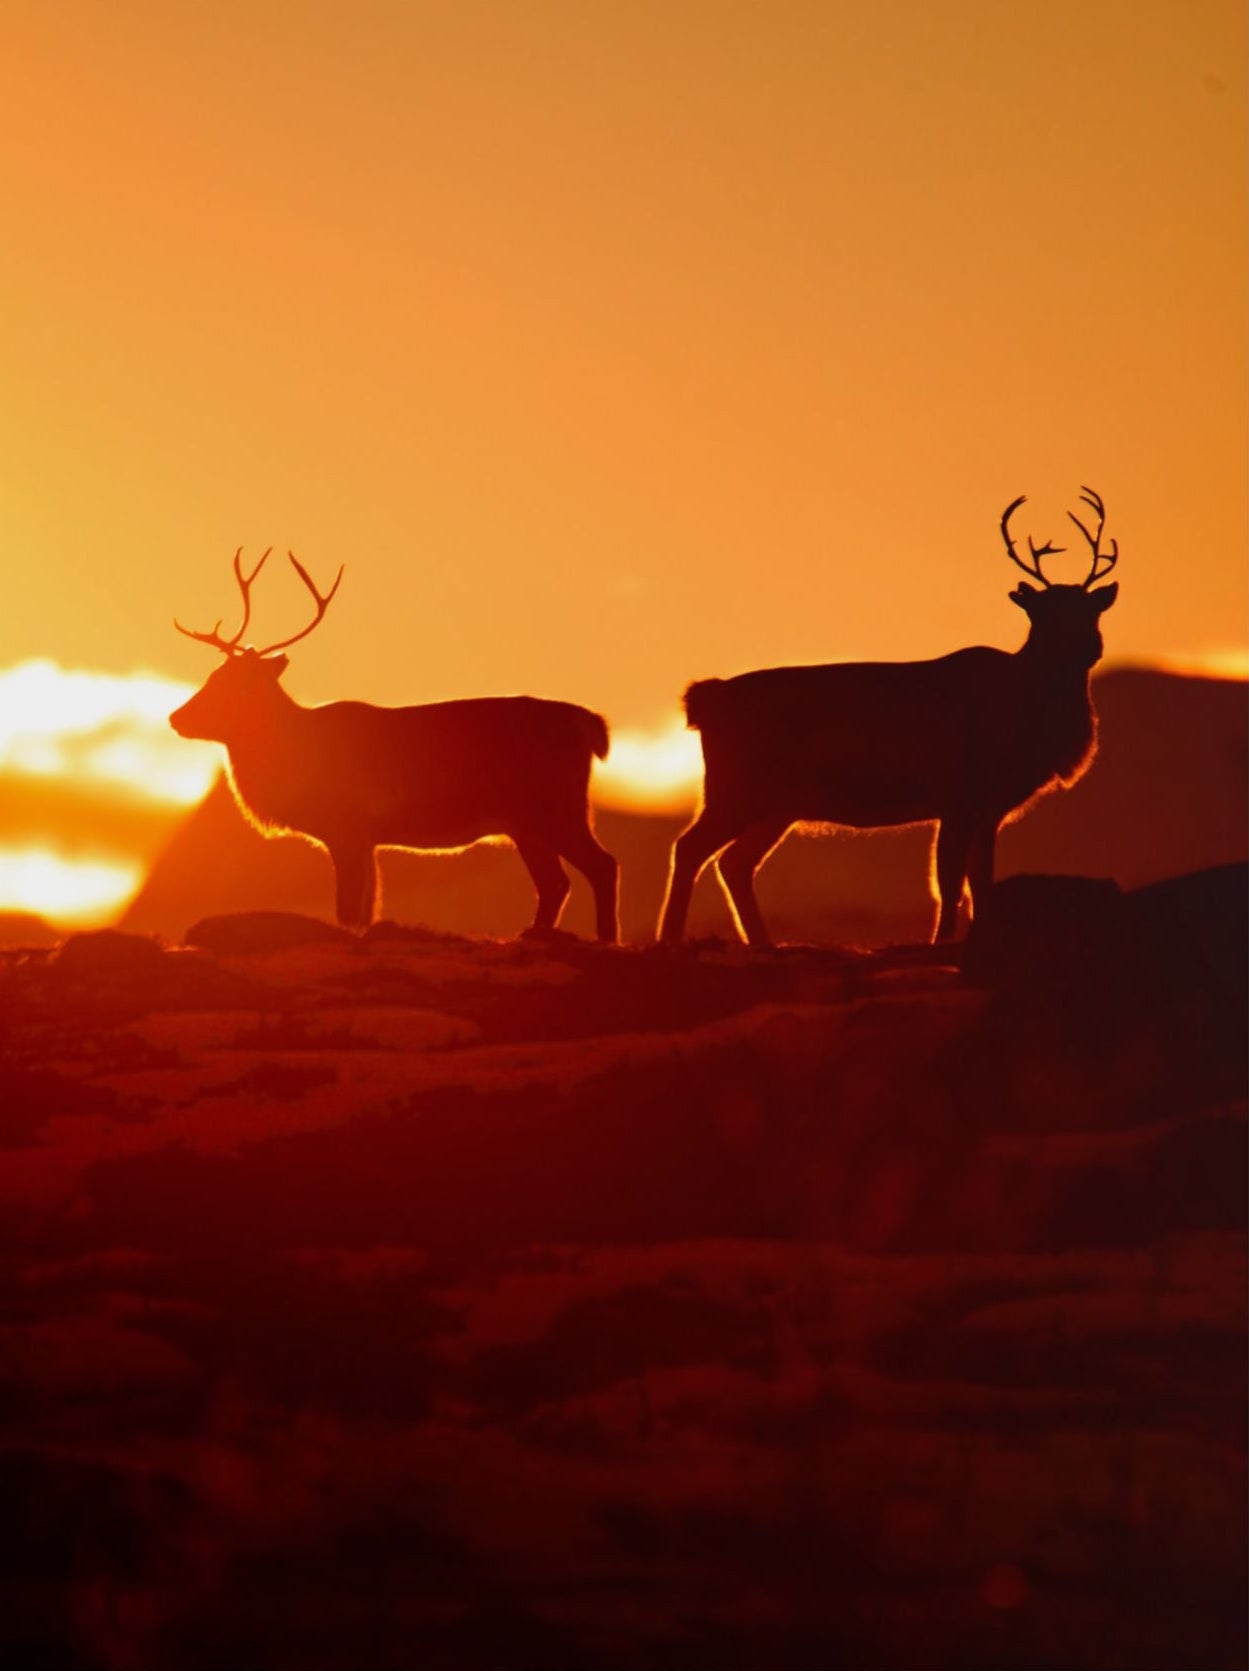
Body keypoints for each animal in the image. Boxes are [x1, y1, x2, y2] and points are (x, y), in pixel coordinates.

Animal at [169, 551, 619, 940]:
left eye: (229, 686)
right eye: (213, 676)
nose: (176, 717)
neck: (298, 751)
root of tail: (591, 723)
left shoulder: (347, 825)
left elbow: (349, 909)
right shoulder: (368, 837)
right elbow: (366, 909)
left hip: (557, 806)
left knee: (602, 865)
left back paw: (606, 939)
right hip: (526, 823)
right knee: (556, 883)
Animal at [658, 488, 1120, 947]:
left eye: (1092, 611)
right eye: (1044, 614)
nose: (1089, 646)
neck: (1027, 722)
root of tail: (705, 699)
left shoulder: (988, 807)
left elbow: (980, 882)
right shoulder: (959, 793)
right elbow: (949, 882)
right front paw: (941, 942)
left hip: (777, 804)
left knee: (735, 862)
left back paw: (764, 943)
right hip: (736, 787)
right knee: (691, 847)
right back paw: (671, 939)